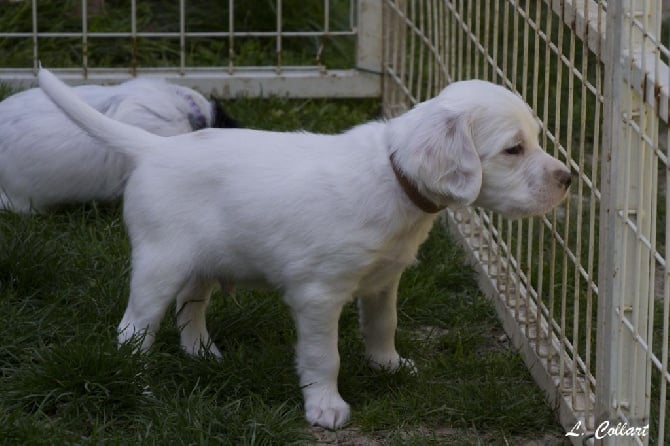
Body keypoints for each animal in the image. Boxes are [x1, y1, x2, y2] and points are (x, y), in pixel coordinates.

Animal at [36, 69, 572, 428]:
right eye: (513, 149)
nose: (567, 179)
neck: (394, 176)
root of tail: (155, 147)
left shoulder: (384, 279)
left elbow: (383, 325)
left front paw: (389, 364)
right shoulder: (318, 294)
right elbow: (323, 356)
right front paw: (326, 406)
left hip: (203, 260)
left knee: (191, 306)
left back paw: (203, 353)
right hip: (159, 263)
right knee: (134, 329)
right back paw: (140, 386)